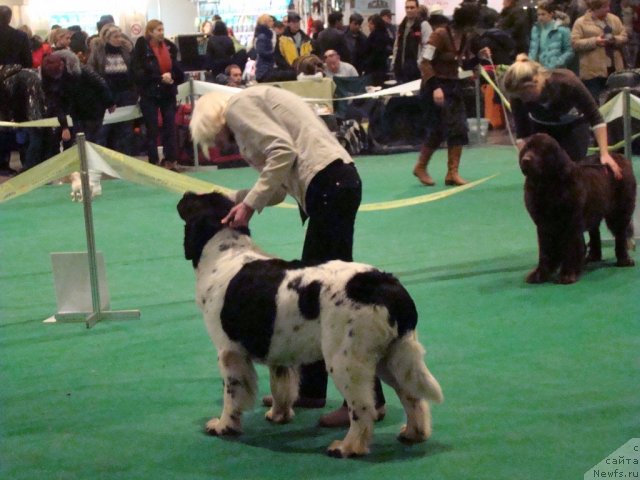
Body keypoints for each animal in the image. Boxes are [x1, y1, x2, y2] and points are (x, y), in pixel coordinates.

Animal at [178, 191, 442, 458]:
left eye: (194, 201)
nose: (185, 193)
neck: (223, 253)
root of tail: (387, 285)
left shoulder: (229, 352)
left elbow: (231, 394)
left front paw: (223, 426)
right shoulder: (278, 351)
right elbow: (281, 386)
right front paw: (279, 415)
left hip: (345, 360)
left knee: (363, 408)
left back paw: (347, 447)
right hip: (391, 356)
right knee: (412, 396)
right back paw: (413, 433)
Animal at [520, 133, 636, 284]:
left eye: (541, 150)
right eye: (527, 148)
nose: (525, 159)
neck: (547, 185)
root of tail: (619, 157)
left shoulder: (570, 223)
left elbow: (570, 248)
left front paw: (567, 275)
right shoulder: (544, 225)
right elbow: (545, 251)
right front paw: (540, 274)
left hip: (620, 211)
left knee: (620, 233)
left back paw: (623, 260)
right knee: (595, 231)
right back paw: (593, 257)